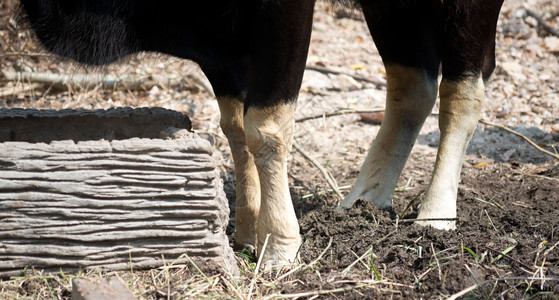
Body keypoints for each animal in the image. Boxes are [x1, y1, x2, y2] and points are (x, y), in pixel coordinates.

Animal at [18, 0, 508, 268]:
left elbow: (266, 127)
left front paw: (279, 245)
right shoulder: (216, 41)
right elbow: (235, 126)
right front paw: (249, 230)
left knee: (462, 89)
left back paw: (435, 216)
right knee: (413, 83)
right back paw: (361, 202)